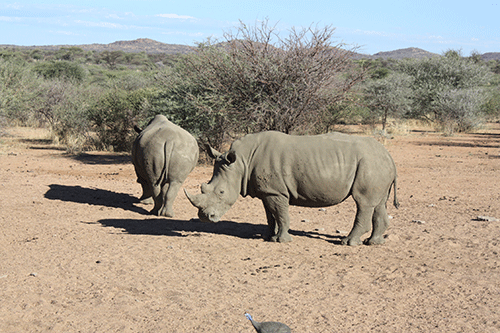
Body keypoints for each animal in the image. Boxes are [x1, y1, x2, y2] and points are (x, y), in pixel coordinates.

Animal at [184, 131, 398, 245]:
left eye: (221, 192)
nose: (205, 217)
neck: (242, 161)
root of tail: (388, 155)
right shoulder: (267, 191)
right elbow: (270, 215)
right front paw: (268, 236)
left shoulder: (276, 191)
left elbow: (281, 214)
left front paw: (281, 240)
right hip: (376, 165)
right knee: (378, 203)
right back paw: (374, 242)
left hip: (369, 163)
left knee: (363, 202)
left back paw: (348, 243)